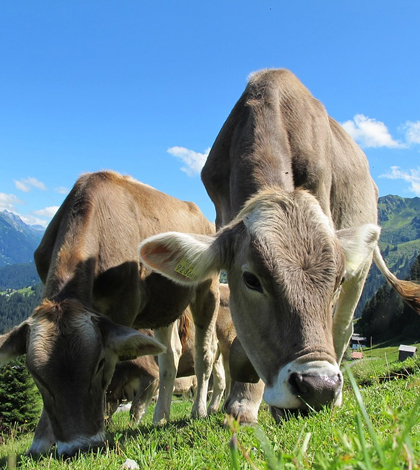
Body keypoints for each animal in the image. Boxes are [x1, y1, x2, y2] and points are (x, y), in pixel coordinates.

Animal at [0, 170, 220, 456]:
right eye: (36, 376)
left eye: (100, 364)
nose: (78, 446)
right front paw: (40, 441)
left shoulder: (123, 309)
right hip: (164, 305)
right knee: (170, 355)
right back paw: (160, 416)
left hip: (207, 287)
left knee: (205, 352)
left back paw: (199, 410)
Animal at [139, 69, 420, 422]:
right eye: (251, 279)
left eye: (336, 279)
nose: (319, 387)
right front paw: (243, 402)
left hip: (362, 267)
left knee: (342, 328)